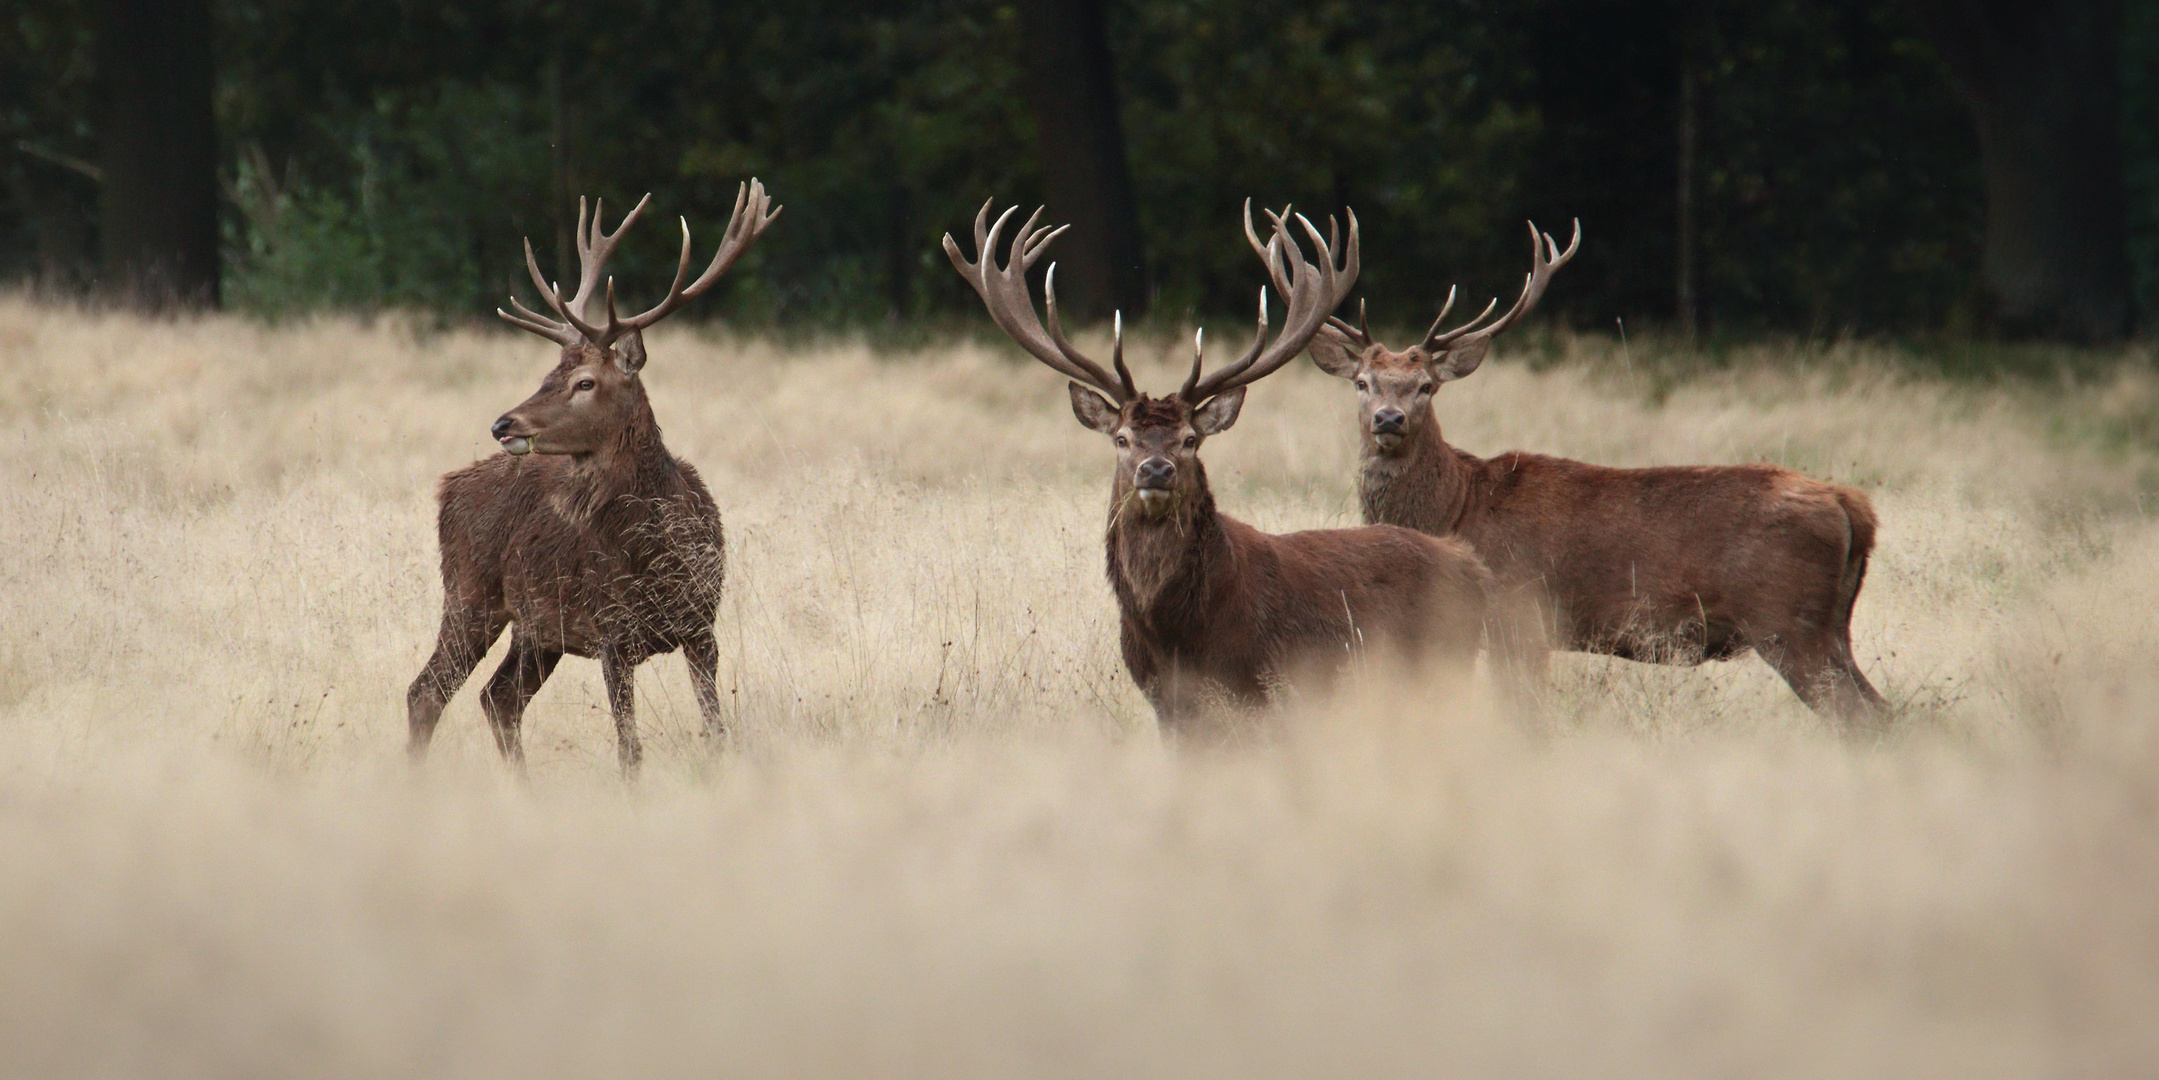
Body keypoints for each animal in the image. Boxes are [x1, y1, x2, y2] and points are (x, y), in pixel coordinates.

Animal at [405, 179, 785, 768]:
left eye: (584, 382)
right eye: (548, 374)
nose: (502, 423)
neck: (659, 555)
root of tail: (449, 488)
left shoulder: (703, 627)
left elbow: (716, 730)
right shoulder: (612, 632)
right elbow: (630, 751)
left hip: (537, 628)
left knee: (498, 697)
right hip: (469, 592)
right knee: (427, 691)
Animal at [954, 198, 1494, 730]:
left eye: (1191, 440)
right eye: (1122, 438)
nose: (1156, 469)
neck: (1175, 635)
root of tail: (1469, 563)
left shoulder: (1267, 687)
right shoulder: (1165, 703)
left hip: (1438, 668)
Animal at [1286, 217, 1882, 725]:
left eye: (1426, 386)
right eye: (1361, 382)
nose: (1389, 418)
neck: (1455, 509)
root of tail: (1851, 506)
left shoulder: (1518, 614)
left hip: (1786, 621)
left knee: (1856, 715)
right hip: (1833, 627)